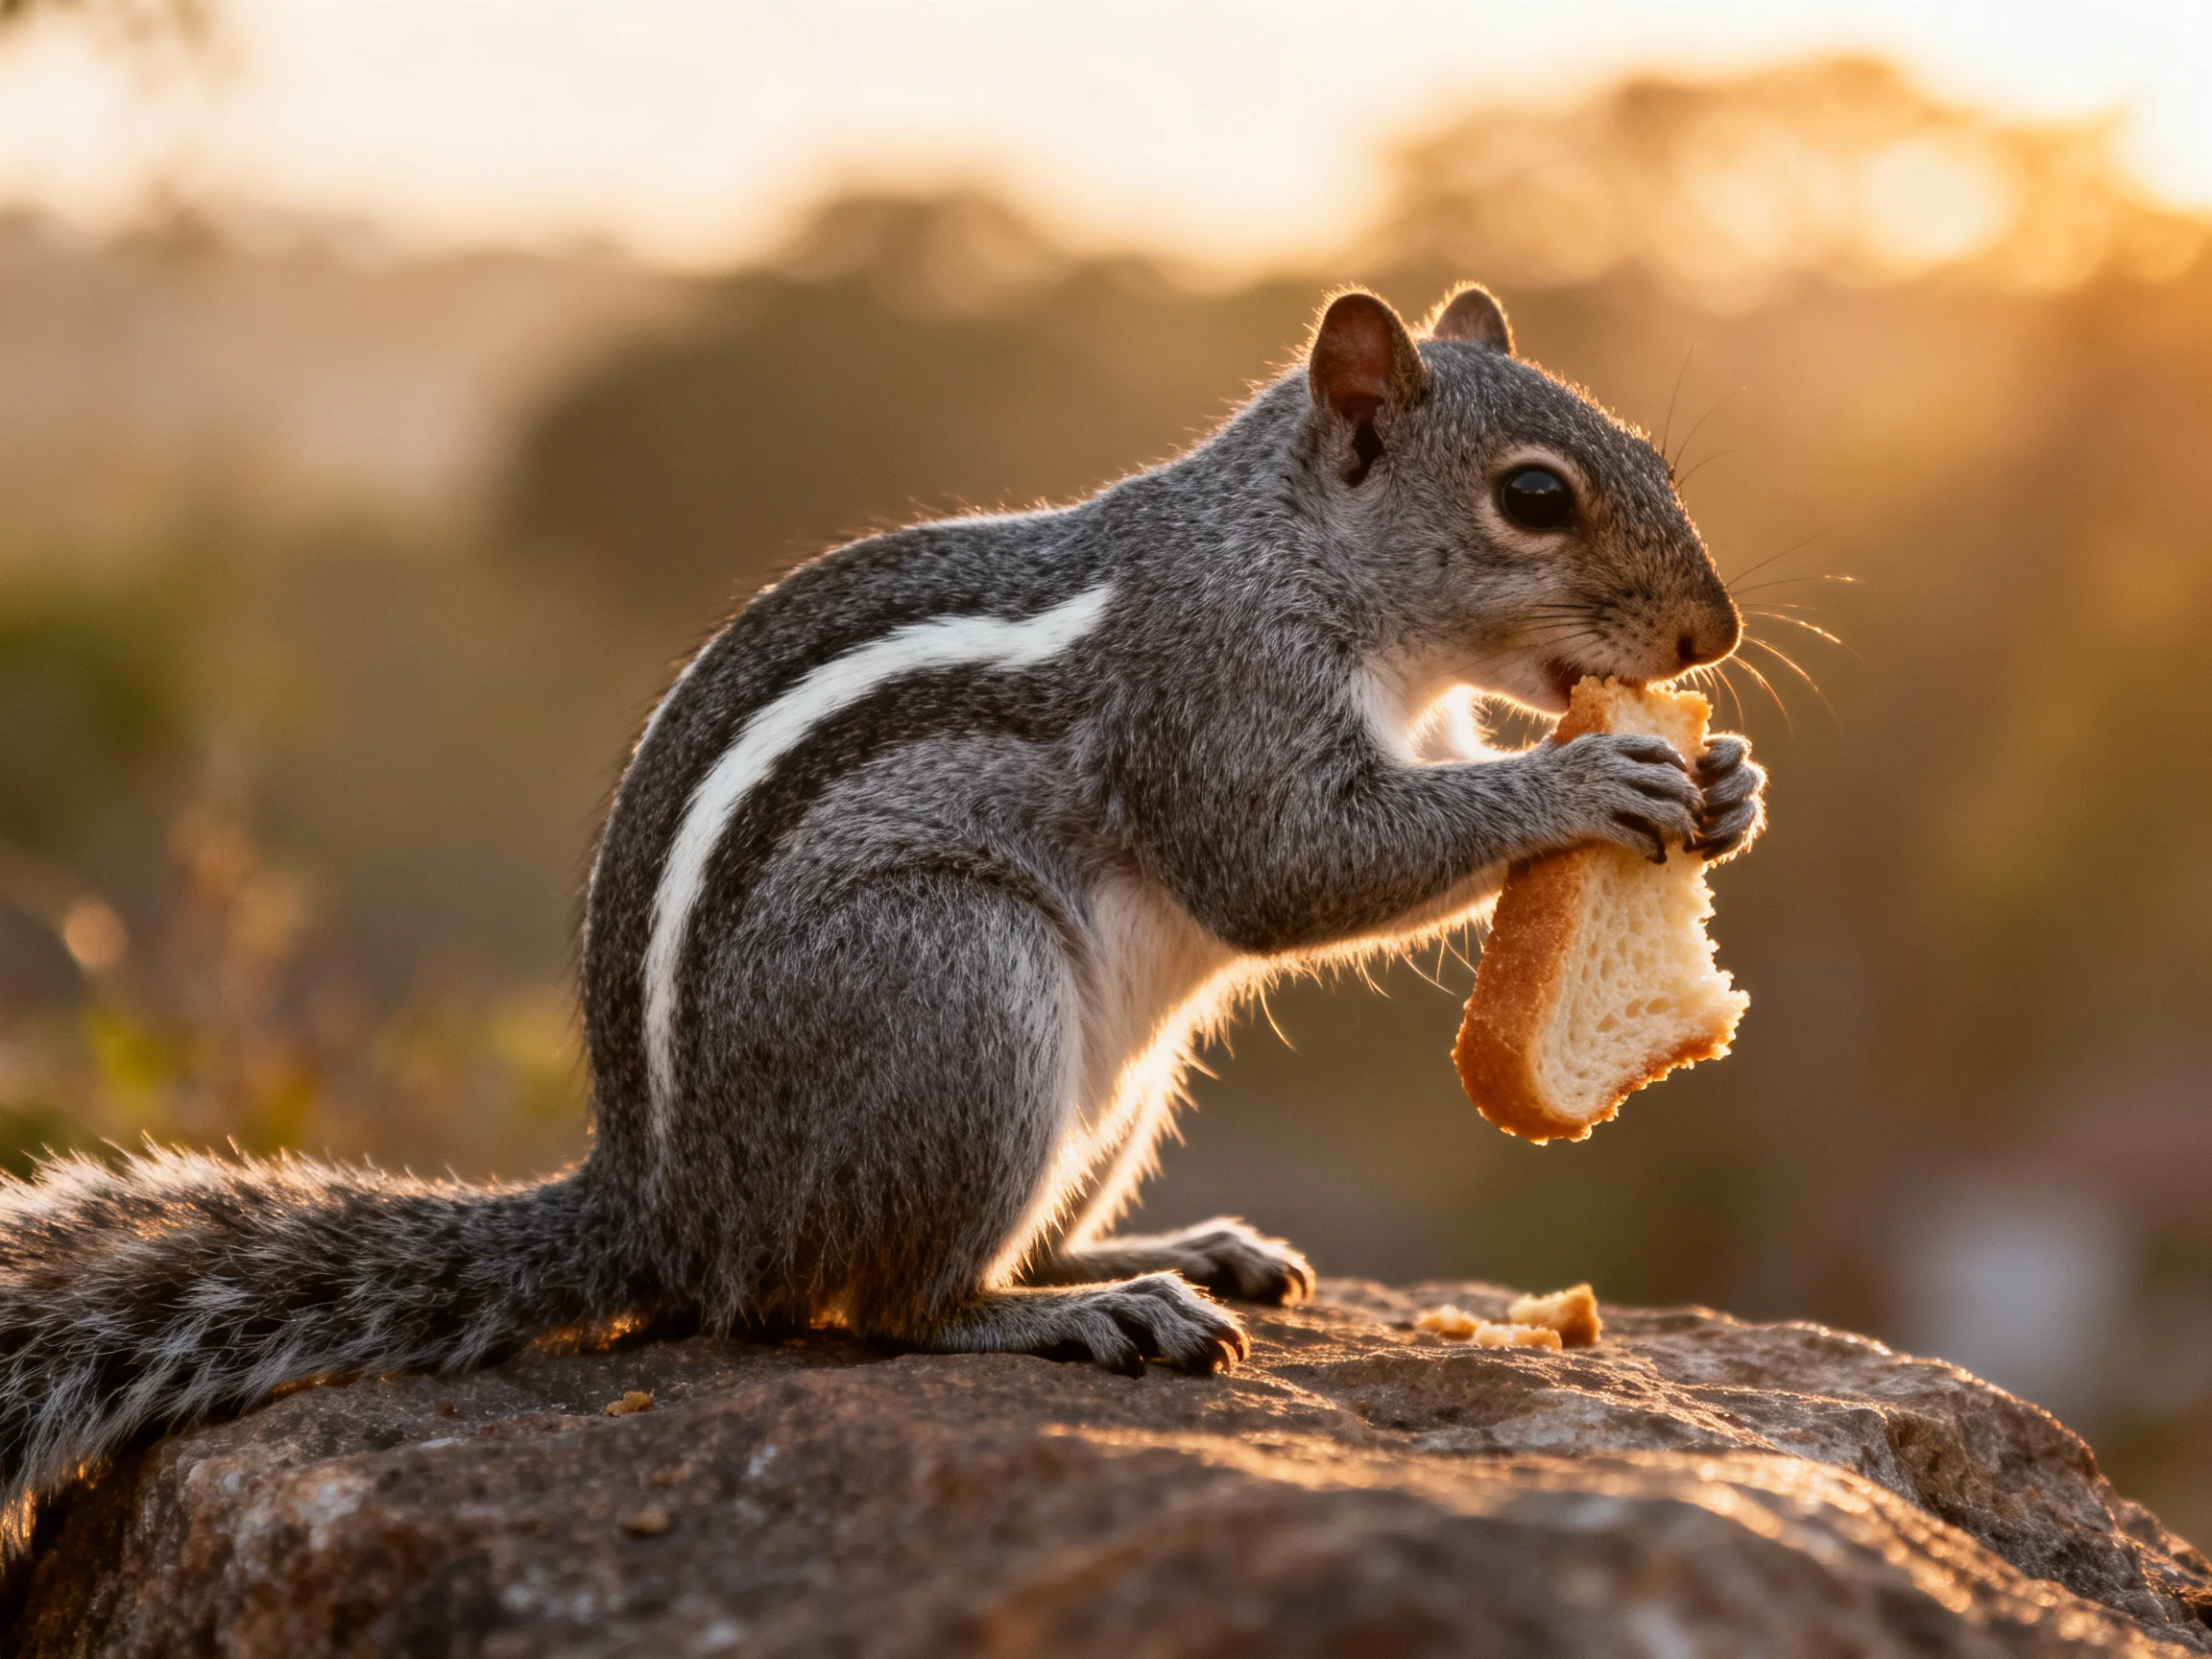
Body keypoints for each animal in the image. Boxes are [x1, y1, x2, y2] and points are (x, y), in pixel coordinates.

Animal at [0, 284, 1764, 1554]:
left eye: (1663, 464)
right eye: (1531, 496)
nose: (1714, 634)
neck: (1285, 554)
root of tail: (671, 1210)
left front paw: (1725, 781)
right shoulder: (1215, 701)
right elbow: (1297, 869)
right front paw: (1587, 780)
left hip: (1112, 1079)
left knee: (1006, 1228)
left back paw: (1171, 1249)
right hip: (952, 989)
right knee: (890, 1305)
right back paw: (1078, 1315)